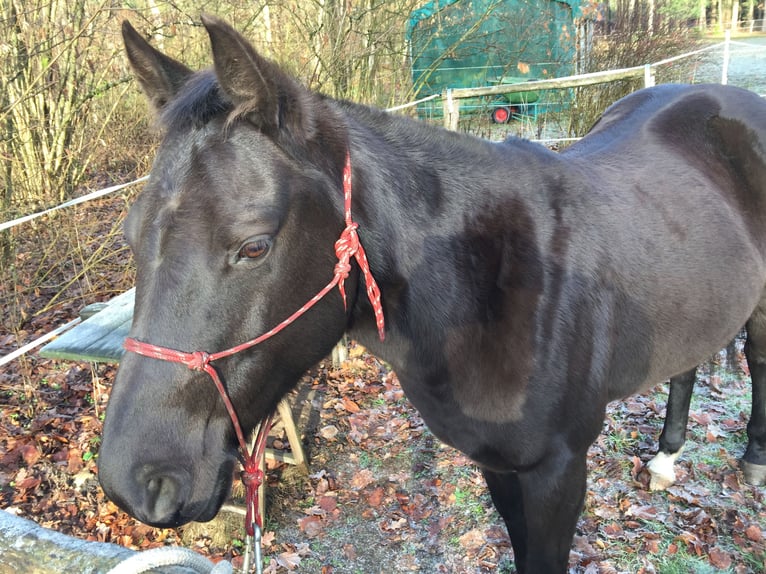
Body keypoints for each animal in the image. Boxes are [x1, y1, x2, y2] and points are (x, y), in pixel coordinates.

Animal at [98, 16, 766, 573]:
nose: (135, 481)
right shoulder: (501, 465)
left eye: (255, 246)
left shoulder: (558, 472)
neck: (494, 288)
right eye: (131, 235)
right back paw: (666, 459)